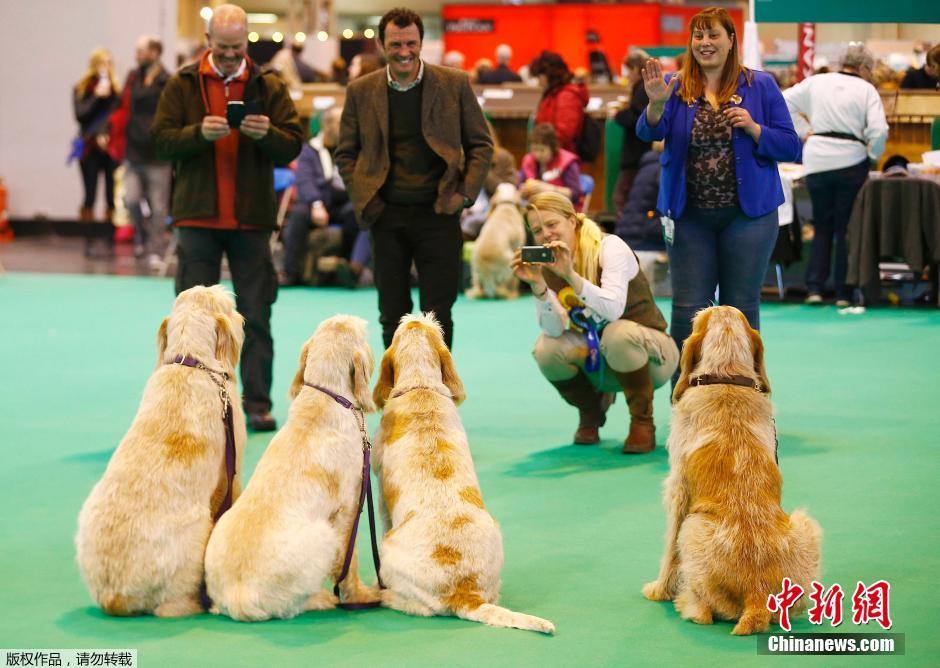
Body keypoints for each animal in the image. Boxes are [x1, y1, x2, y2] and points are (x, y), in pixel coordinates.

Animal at [76, 284, 244, 620]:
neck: (190, 361)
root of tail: (114, 595)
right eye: (228, 306)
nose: (242, 318)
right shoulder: (232, 473)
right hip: (195, 537)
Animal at [205, 316, 378, 624]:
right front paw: (359, 594)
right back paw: (321, 599)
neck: (327, 396)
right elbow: (349, 562)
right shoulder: (349, 509)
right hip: (322, 535)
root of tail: (237, 597)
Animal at [370, 316, 556, 636]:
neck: (421, 387)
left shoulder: (382, 495)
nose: (415, 317)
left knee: (411, 605)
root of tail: (464, 593)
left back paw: (381, 593)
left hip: (390, 554)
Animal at [644, 306, 820, 636]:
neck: (725, 376)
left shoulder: (678, 493)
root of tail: (757, 595)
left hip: (692, 527)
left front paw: (659, 590)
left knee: (703, 612)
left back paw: (686, 602)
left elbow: (668, 550)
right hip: (806, 525)